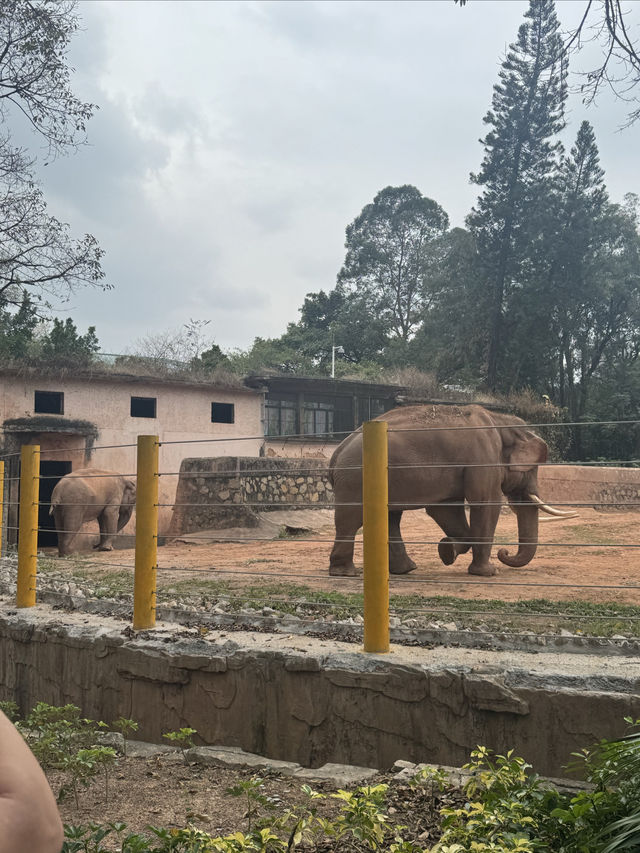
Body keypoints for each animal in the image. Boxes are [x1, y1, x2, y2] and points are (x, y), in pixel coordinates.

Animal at [330, 402, 576, 576]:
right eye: (532, 470)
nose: (504, 552)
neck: (501, 421)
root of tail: (337, 452)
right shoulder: (483, 458)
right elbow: (485, 503)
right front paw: (488, 572)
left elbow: (445, 509)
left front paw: (447, 550)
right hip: (355, 479)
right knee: (350, 520)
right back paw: (346, 572)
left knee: (390, 517)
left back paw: (406, 569)